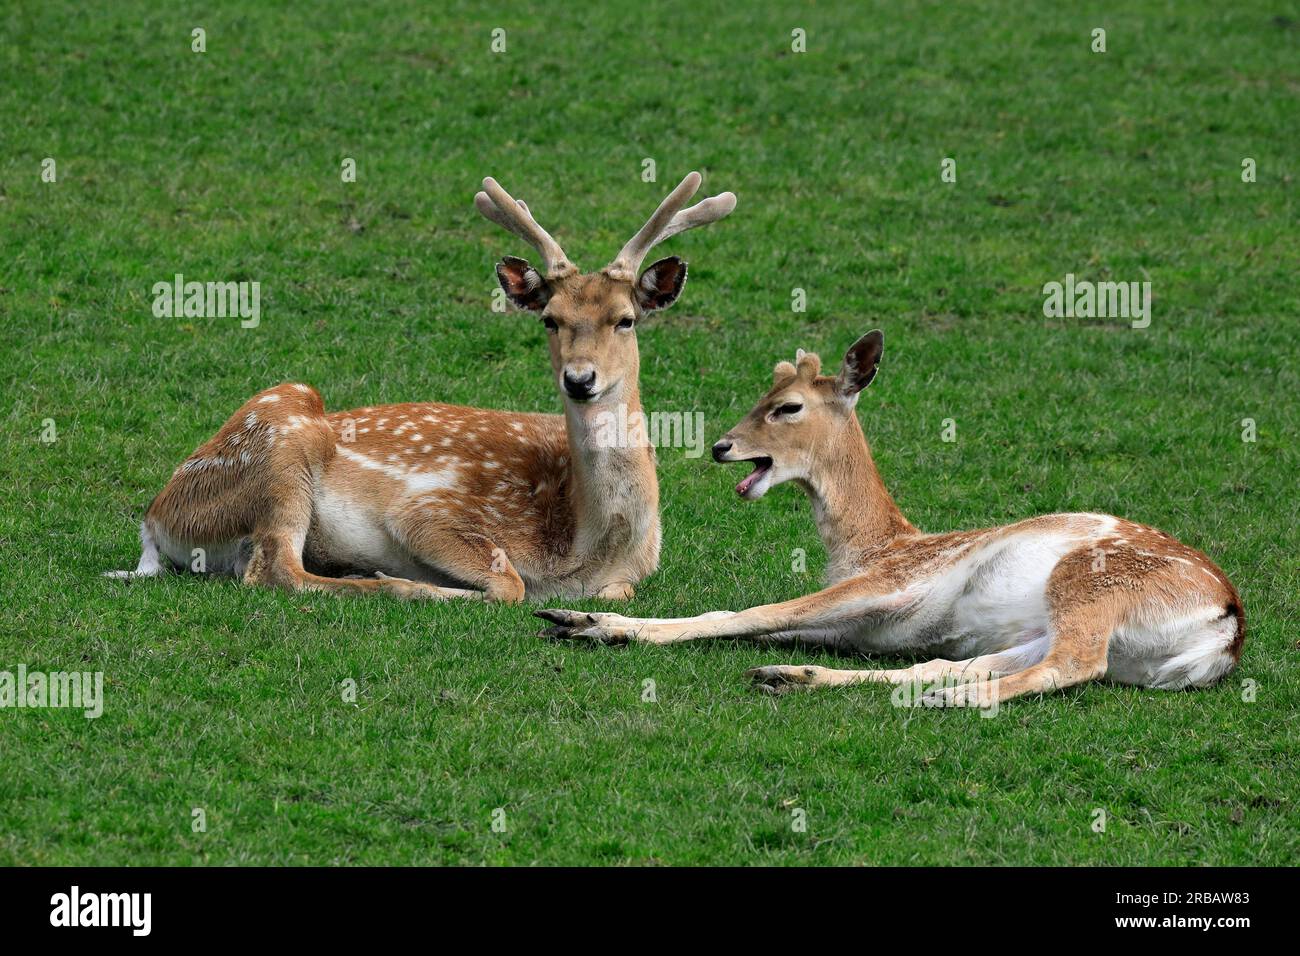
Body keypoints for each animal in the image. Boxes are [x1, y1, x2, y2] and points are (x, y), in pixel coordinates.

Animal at [106, 171, 738, 600]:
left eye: (625, 319)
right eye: (549, 319)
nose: (580, 379)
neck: (585, 550)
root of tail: (153, 521)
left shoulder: (628, 578)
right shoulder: (429, 510)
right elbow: (509, 584)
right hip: (281, 445)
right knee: (275, 569)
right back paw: (389, 579)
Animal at [540, 332, 1248, 707]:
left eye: (788, 406)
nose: (720, 446)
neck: (874, 546)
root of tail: (1227, 628)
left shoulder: (891, 583)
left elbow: (749, 612)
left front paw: (591, 622)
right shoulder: (875, 626)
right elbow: (755, 619)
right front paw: (578, 619)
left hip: (1090, 585)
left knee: (1073, 663)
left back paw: (949, 702)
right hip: (1068, 633)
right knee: (961, 665)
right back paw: (790, 676)